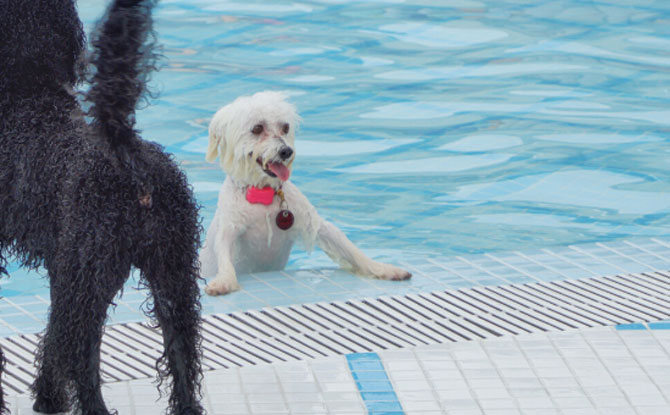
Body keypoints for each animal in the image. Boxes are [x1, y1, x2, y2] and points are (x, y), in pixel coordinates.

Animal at [0, 0, 205, 415]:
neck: (30, 91)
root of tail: (128, 156)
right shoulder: (61, 264)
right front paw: (49, 397)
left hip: (93, 271)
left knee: (82, 352)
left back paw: (88, 405)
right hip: (171, 272)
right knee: (182, 353)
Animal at [200, 91, 412, 296]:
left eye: (285, 127)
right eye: (257, 128)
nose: (286, 151)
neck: (262, 194)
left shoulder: (313, 223)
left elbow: (350, 249)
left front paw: (383, 269)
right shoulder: (229, 228)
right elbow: (224, 254)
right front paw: (225, 280)